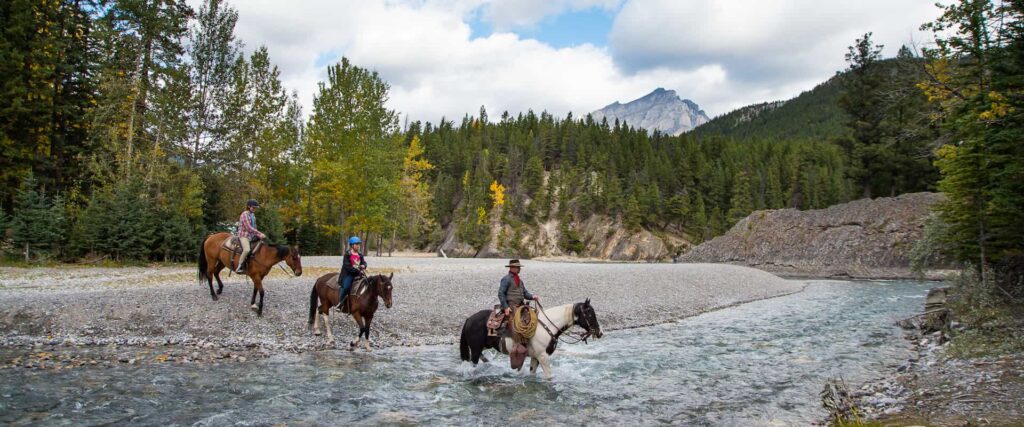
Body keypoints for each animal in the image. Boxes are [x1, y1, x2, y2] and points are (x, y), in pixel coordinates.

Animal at [460, 296, 602, 376]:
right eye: (589, 314)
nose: (599, 332)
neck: (547, 326)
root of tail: (469, 319)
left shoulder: (535, 357)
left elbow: (532, 374)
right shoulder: (543, 356)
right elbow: (549, 376)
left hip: (483, 346)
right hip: (476, 349)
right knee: (473, 364)